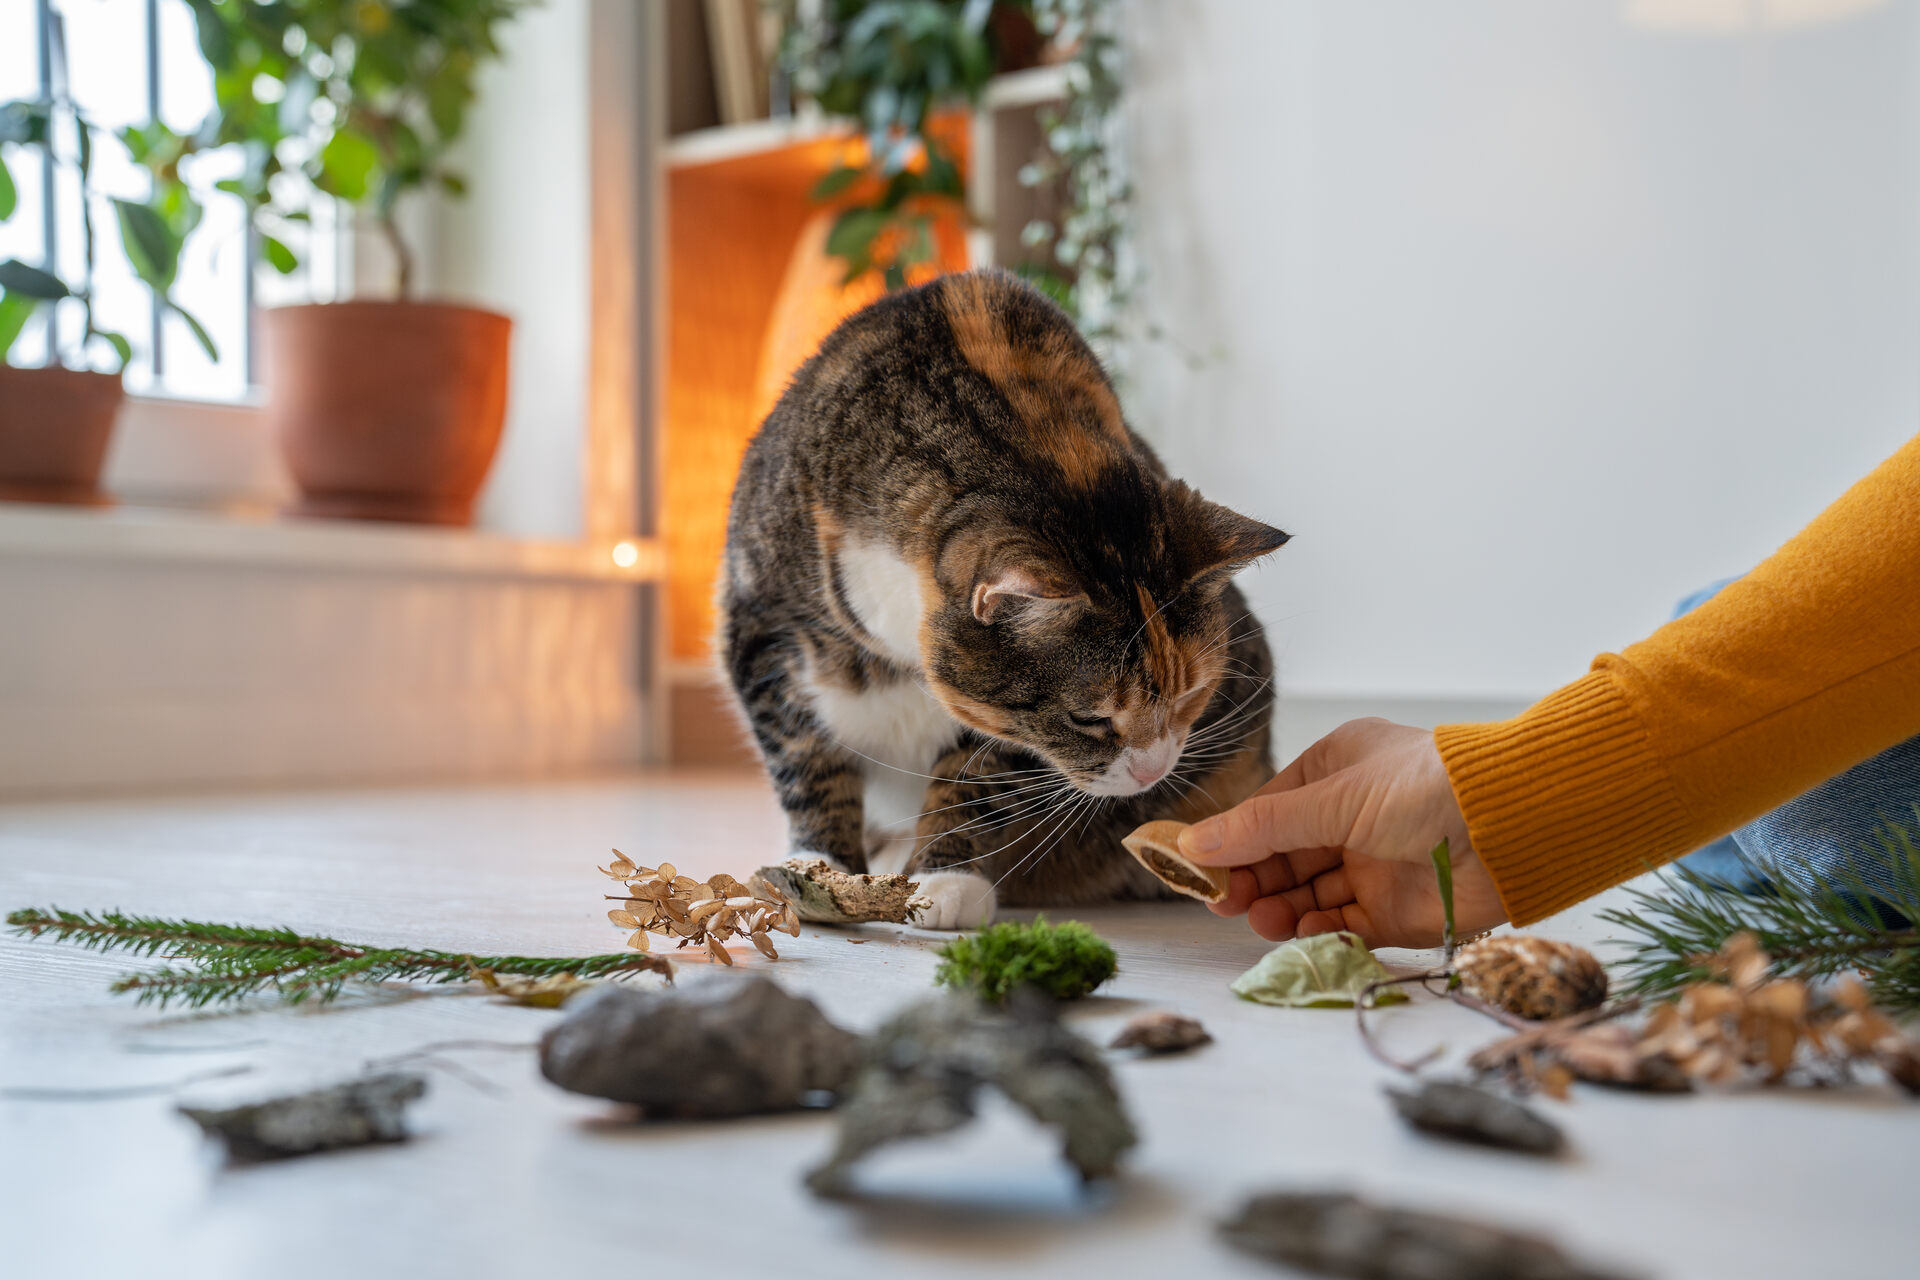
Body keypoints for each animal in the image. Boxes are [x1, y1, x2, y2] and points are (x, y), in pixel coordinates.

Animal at [721, 270, 1290, 932]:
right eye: (1088, 719)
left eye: (1190, 694)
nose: (1152, 771)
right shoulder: (764, 625)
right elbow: (804, 758)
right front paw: (818, 870)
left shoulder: (1000, 724)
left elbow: (978, 773)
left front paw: (942, 880)